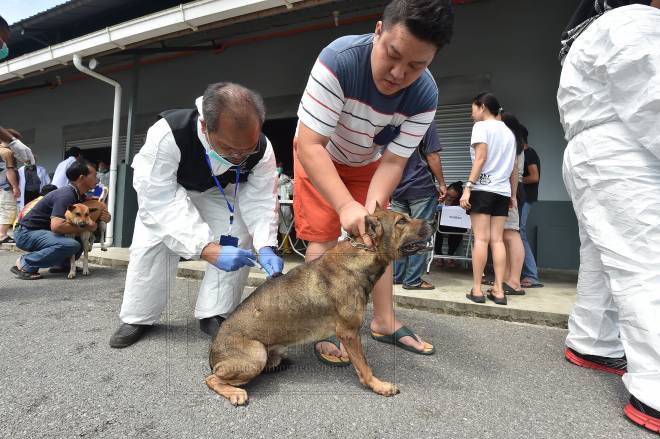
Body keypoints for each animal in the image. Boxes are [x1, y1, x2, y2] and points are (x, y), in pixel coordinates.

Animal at [206, 208, 434, 408]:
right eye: (401, 221)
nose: (432, 222)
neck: (361, 253)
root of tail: (213, 353)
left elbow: (359, 361)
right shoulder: (349, 332)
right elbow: (364, 365)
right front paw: (378, 385)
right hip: (256, 356)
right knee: (212, 379)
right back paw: (235, 392)